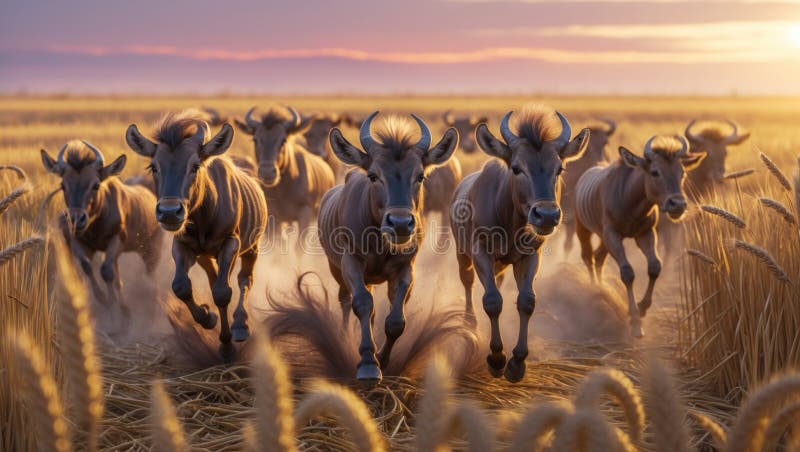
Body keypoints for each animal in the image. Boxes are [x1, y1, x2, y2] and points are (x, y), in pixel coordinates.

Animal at [126, 112, 268, 361]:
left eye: (195, 165)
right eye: (153, 166)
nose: (169, 212)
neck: (204, 218)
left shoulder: (231, 243)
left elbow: (223, 292)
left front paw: (227, 346)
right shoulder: (184, 246)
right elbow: (181, 286)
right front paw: (207, 317)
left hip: (252, 248)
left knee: (244, 280)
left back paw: (240, 325)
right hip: (206, 256)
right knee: (214, 280)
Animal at [319, 111, 458, 383]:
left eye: (420, 176)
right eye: (373, 175)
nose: (401, 224)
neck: (380, 244)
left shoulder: (405, 269)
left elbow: (395, 320)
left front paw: (381, 359)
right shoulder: (351, 263)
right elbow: (362, 303)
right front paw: (367, 363)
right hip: (336, 269)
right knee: (345, 301)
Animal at [451, 104, 589, 382]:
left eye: (559, 169)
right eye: (516, 168)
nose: (546, 215)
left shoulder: (530, 256)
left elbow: (526, 301)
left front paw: (517, 363)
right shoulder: (480, 253)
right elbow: (492, 300)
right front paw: (496, 358)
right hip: (463, 256)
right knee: (468, 284)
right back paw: (470, 323)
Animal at [574, 136, 705, 338]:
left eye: (682, 172)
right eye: (655, 172)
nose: (677, 205)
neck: (629, 200)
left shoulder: (645, 234)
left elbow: (655, 267)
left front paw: (642, 307)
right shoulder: (613, 234)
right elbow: (628, 273)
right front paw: (635, 320)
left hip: (603, 238)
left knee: (599, 257)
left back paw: (602, 288)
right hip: (583, 229)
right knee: (588, 256)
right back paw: (595, 289)